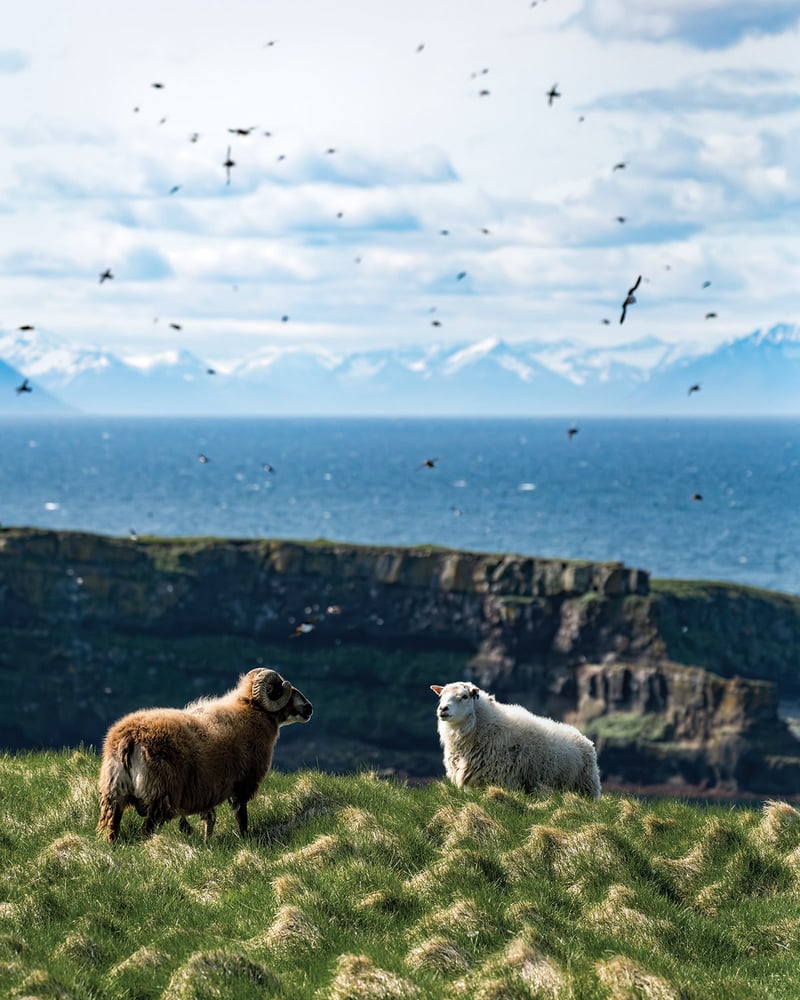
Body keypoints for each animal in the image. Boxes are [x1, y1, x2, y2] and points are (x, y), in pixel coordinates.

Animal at [97, 664, 312, 844]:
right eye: (280, 690)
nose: (309, 708)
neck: (252, 712)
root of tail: (129, 738)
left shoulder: (210, 789)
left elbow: (210, 819)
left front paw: (208, 842)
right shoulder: (242, 784)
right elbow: (241, 816)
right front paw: (245, 839)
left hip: (114, 793)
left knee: (112, 830)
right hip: (160, 794)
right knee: (146, 830)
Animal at [432, 680, 600, 796]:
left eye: (464, 696)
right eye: (441, 696)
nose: (442, 709)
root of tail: (583, 737)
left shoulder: (500, 779)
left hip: (585, 785)